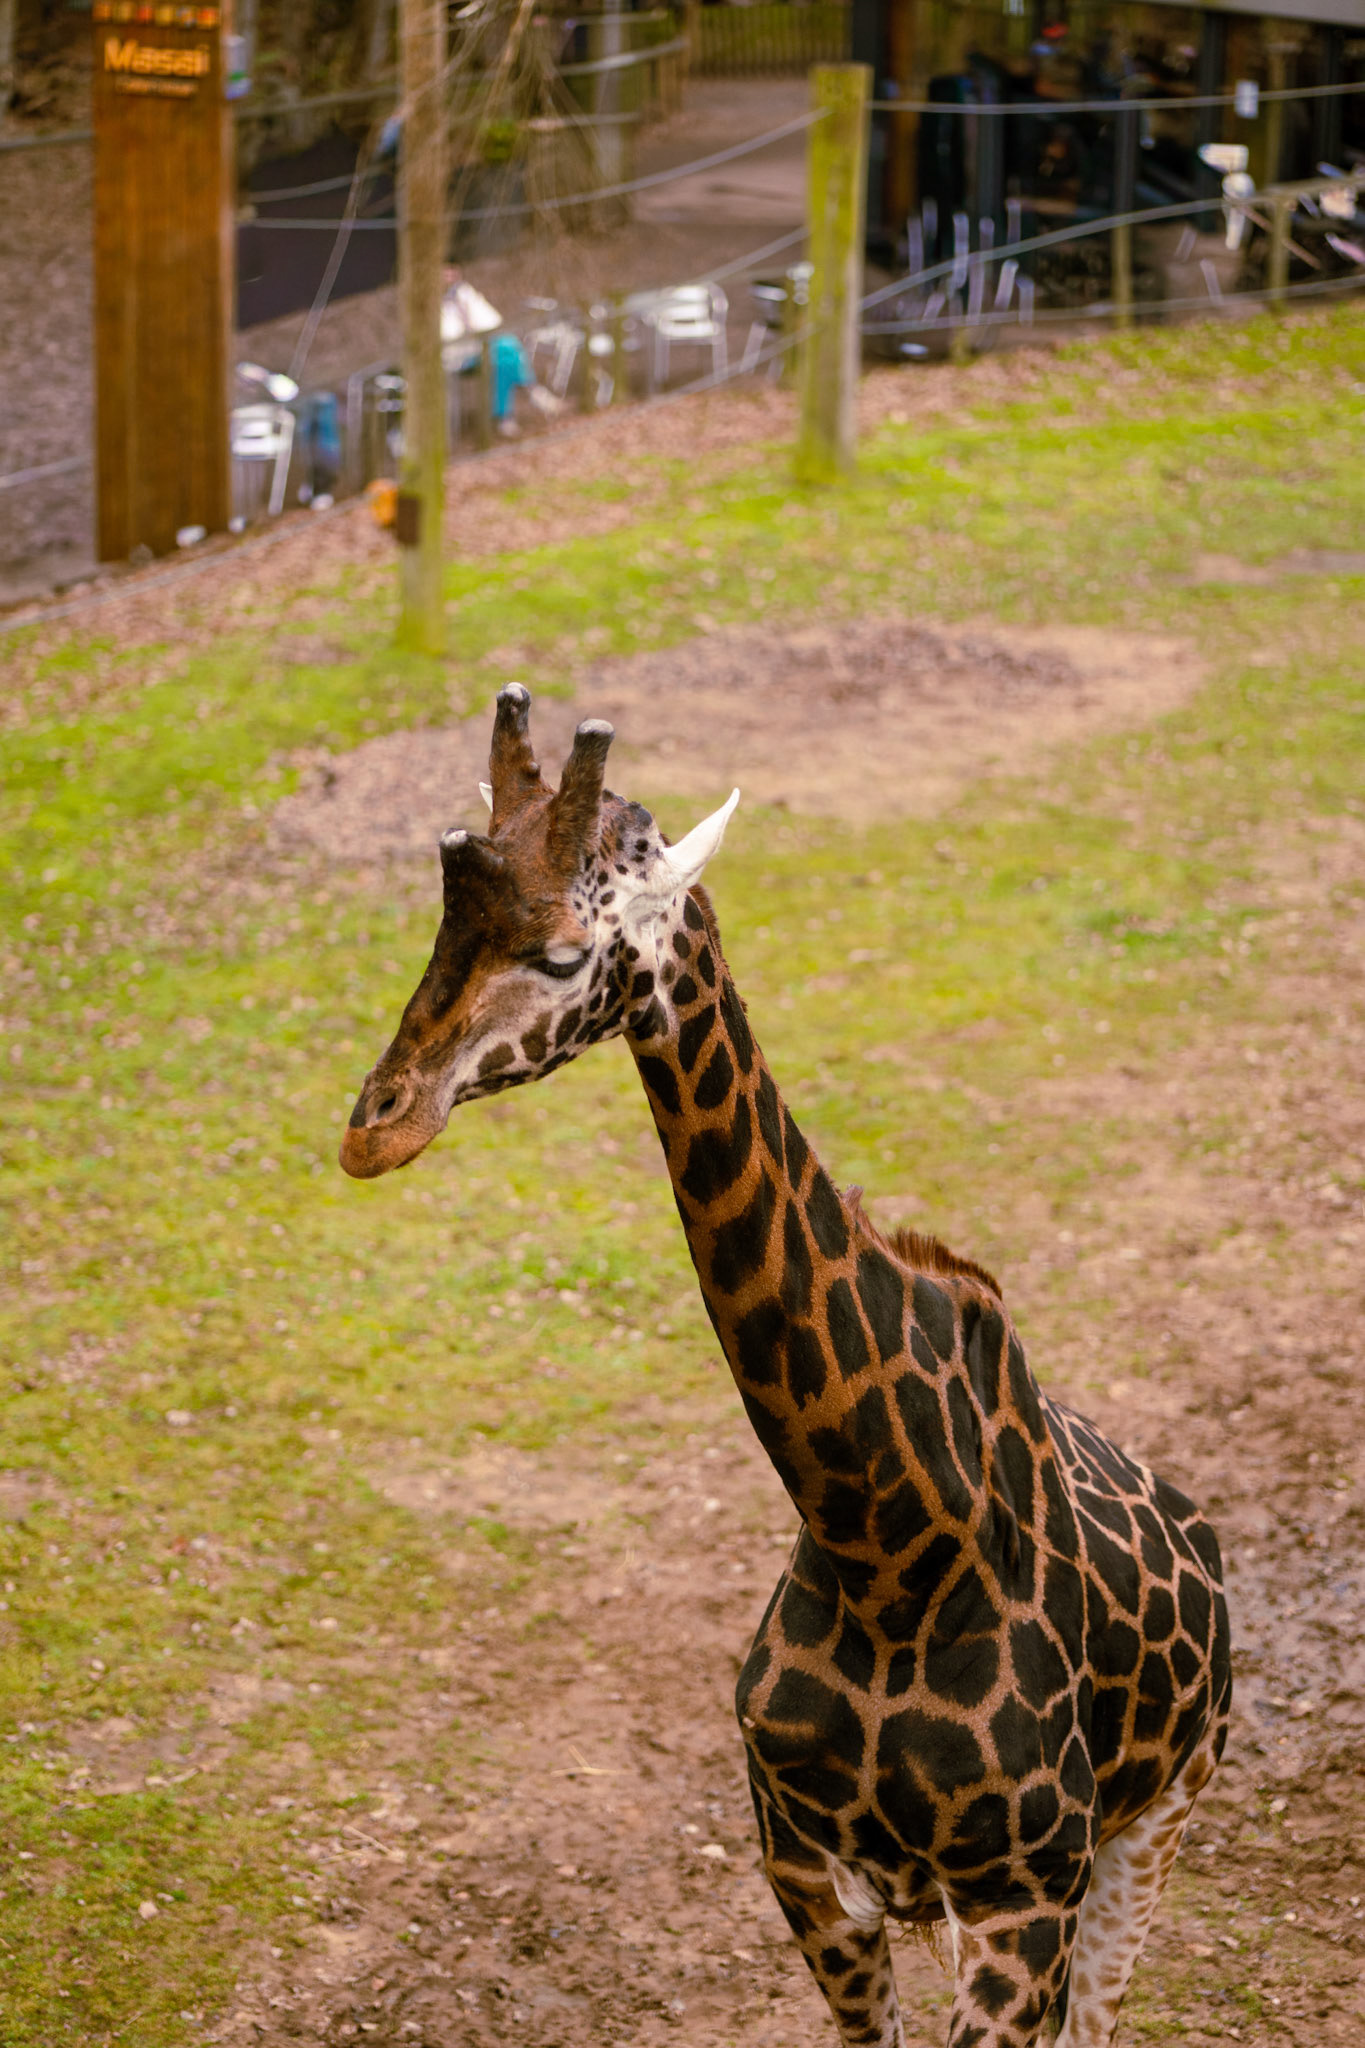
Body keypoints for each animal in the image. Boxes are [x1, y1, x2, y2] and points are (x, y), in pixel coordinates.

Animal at [340, 685, 1232, 2048]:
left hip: (1157, 1823)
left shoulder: (1025, 1898)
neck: (886, 1550)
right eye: (440, 927)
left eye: (562, 953)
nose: (374, 1125)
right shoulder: (813, 1879)